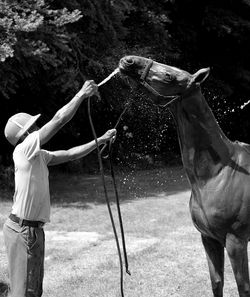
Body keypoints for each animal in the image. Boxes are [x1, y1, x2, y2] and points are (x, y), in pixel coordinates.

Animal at [118, 56, 250, 296]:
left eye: (169, 76)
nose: (128, 60)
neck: (217, 174)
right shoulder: (209, 239)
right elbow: (217, 282)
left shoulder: (236, 241)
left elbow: (243, 287)